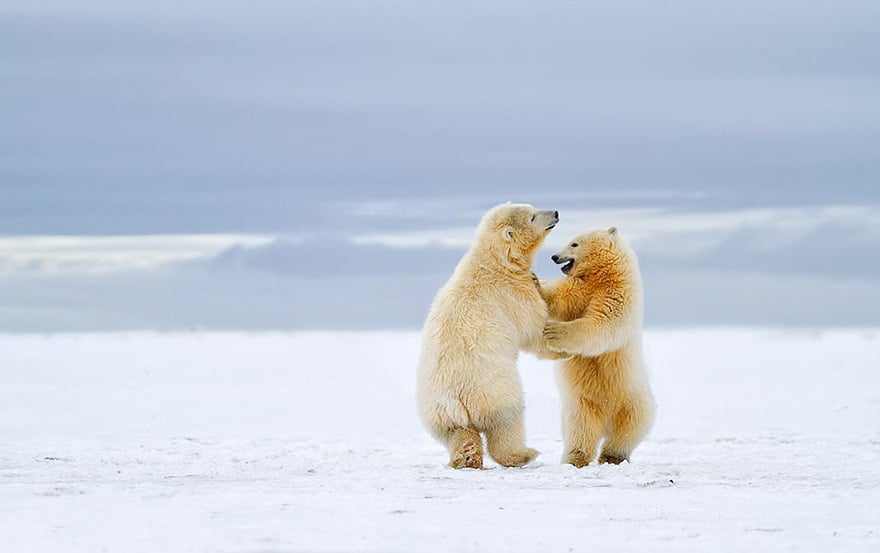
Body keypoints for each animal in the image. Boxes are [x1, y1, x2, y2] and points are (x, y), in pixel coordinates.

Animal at [418, 201, 568, 468]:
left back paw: (467, 459)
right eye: (532, 217)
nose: (556, 213)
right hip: (493, 389)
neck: (496, 262)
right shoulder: (513, 294)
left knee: (459, 433)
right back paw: (524, 454)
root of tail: (453, 398)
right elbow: (534, 332)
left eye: (533, 208)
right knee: (507, 421)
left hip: (438, 414)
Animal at [536, 226, 652, 464]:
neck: (603, 276)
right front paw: (536, 282)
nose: (554, 256)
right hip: (581, 404)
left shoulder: (619, 292)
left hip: (633, 401)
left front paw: (554, 332)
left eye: (574, 243)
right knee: (580, 430)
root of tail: (606, 423)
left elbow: (604, 323)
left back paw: (612, 456)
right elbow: (564, 298)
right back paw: (575, 459)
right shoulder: (582, 287)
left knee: (628, 431)